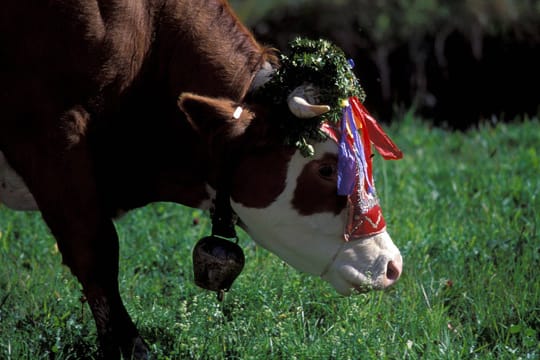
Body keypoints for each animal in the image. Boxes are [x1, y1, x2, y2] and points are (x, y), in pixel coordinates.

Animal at [0, 0, 400, 358]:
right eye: (327, 169)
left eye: (369, 156)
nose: (392, 266)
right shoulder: (53, 136)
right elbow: (95, 250)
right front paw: (130, 347)